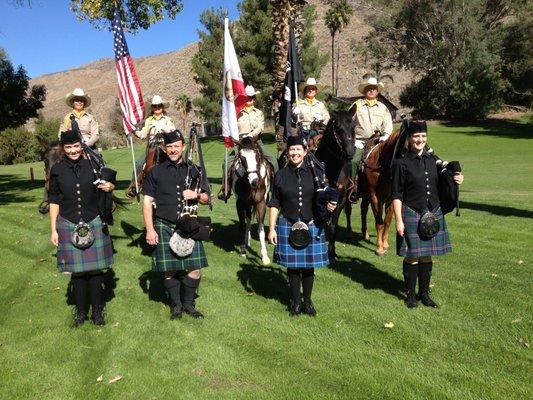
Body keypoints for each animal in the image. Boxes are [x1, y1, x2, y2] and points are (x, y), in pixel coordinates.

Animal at [233, 135, 274, 266]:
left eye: (256, 155)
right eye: (241, 157)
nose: (255, 181)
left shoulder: (261, 203)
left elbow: (261, 228)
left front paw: (265, 256)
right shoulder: (241, 203)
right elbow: (242, 225)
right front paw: (243, 251)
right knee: (248, 220)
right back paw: (247, 241)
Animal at [314, 109, 356, 260]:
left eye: (353, 127)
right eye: (337, 128)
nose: (350, 152)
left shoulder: (340, 201)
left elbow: (334, 226)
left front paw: (332, 253)